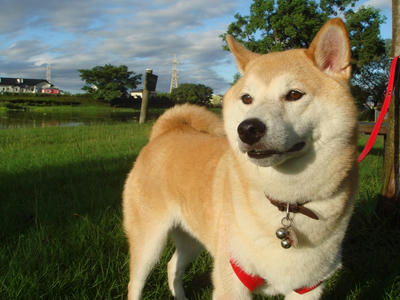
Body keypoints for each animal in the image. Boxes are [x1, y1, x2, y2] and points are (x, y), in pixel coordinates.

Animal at [123, 17, 358, 298]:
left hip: (193, 237)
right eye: (247, 98)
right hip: (150, 241)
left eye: (294, 94)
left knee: (172, 267)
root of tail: (165, 133)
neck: (287, 203)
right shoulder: (231, 279)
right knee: (136, 282)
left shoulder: (308, 287)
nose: (246, 129)